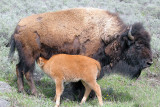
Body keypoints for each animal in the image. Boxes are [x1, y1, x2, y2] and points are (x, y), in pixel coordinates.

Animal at [8, 7, 152, 95]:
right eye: (138, 45)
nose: (149, 62)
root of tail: (18, 26)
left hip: (24, 56)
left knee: (18, 68)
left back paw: (21, 90)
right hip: (30, 56)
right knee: (28, 73)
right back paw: (36, 93)